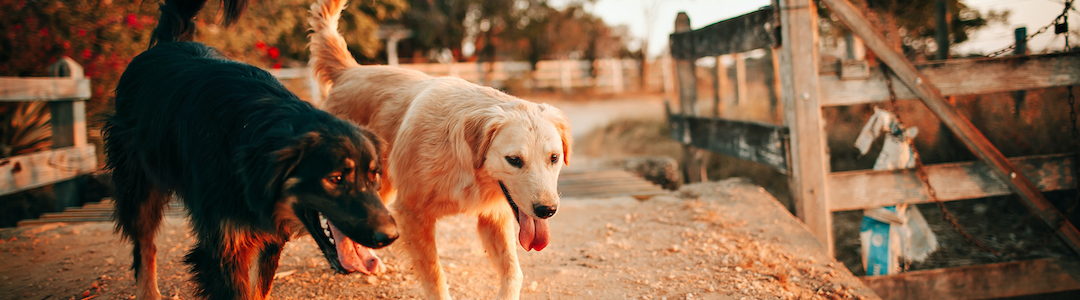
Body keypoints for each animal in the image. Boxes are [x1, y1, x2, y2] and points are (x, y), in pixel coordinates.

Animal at [101, 0, 395, 297]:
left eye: (375, 176)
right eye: (335, 179)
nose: (391, 236)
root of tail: (170, 42)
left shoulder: (268, 238)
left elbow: (259, 291)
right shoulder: (223, 249)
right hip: (139, 190)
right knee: (145, 247)